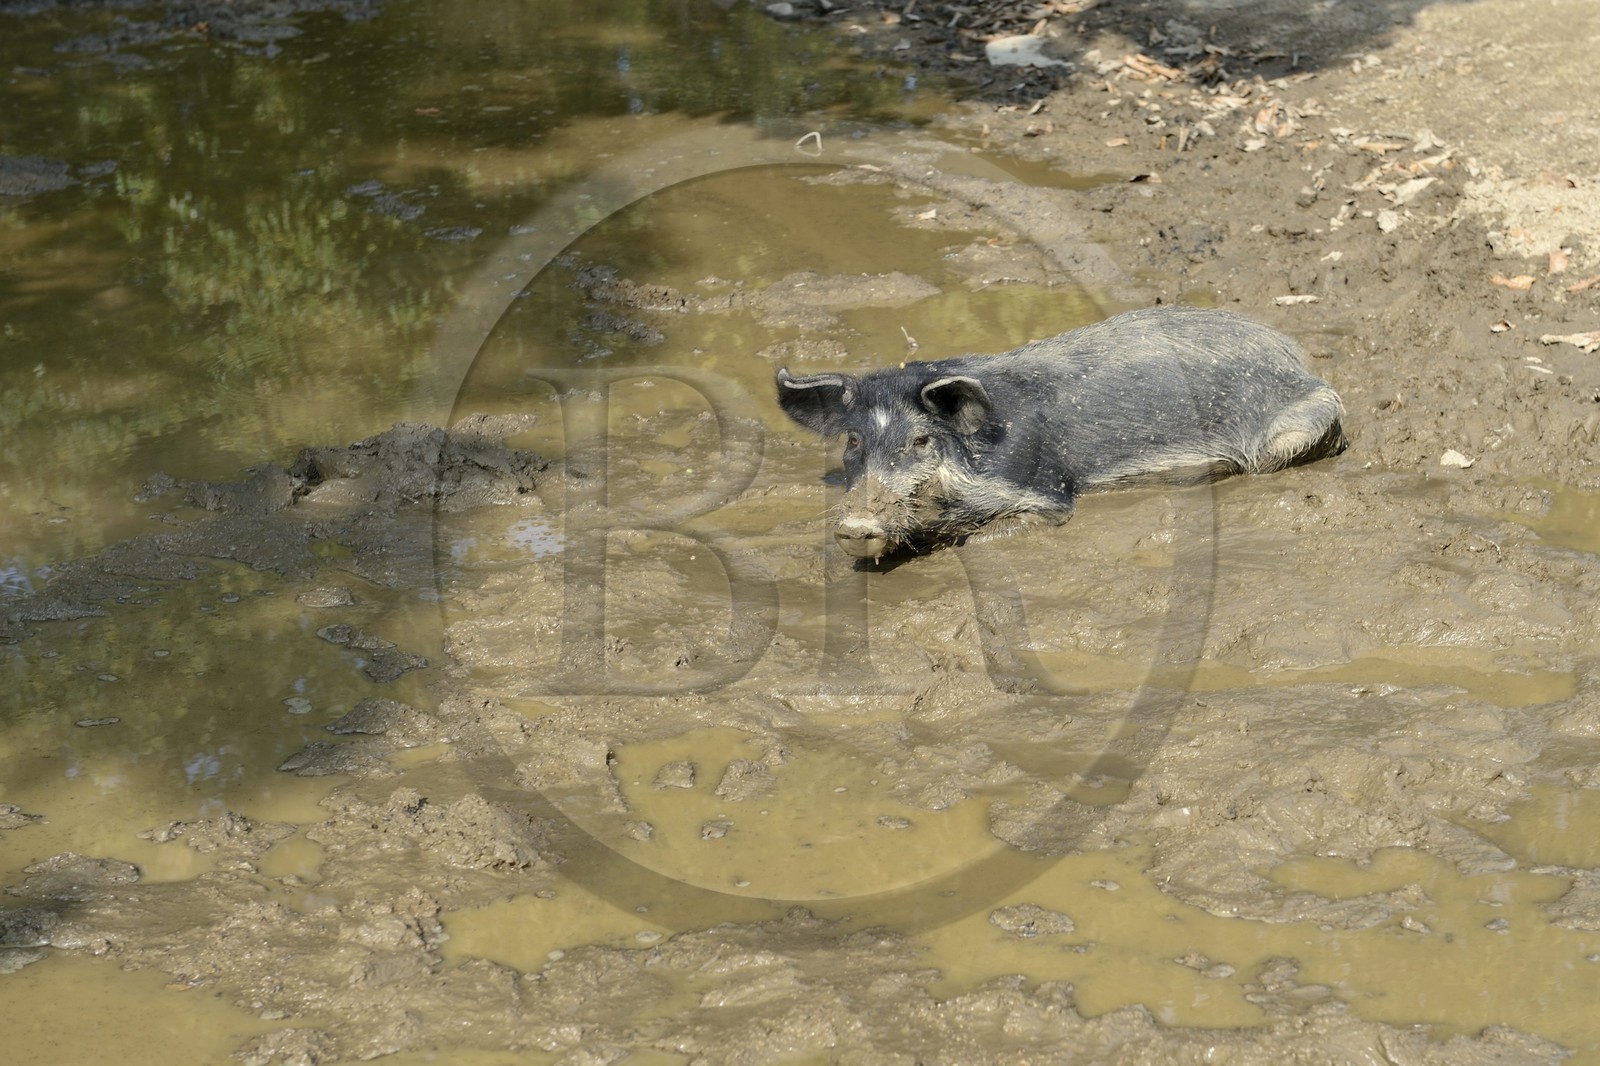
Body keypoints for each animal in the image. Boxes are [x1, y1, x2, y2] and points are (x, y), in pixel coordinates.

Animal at [776, 305, 1346, 561]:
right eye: (853, 441)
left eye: (919, 440)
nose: (856, 526)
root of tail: (1299, 359)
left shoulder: (1044, 491)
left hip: (1296, 428)